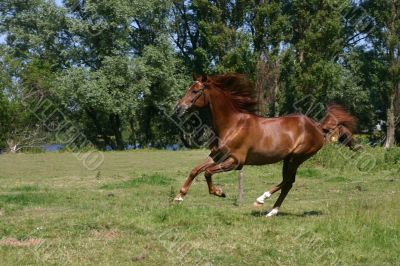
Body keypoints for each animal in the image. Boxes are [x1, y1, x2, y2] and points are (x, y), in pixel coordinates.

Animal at [173, 74, 354, 217]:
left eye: (195, 91)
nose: (178, 109)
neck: (232, 125)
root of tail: (317, 127)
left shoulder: (235, 162)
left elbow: (207, 172)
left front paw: (219, 192)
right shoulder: (216, 156)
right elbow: (195, 170)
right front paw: (179, 197)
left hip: (297, 158)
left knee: (287, 181)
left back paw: (261, 200)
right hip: (288, 159)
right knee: (288, 182)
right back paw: (271, 211)